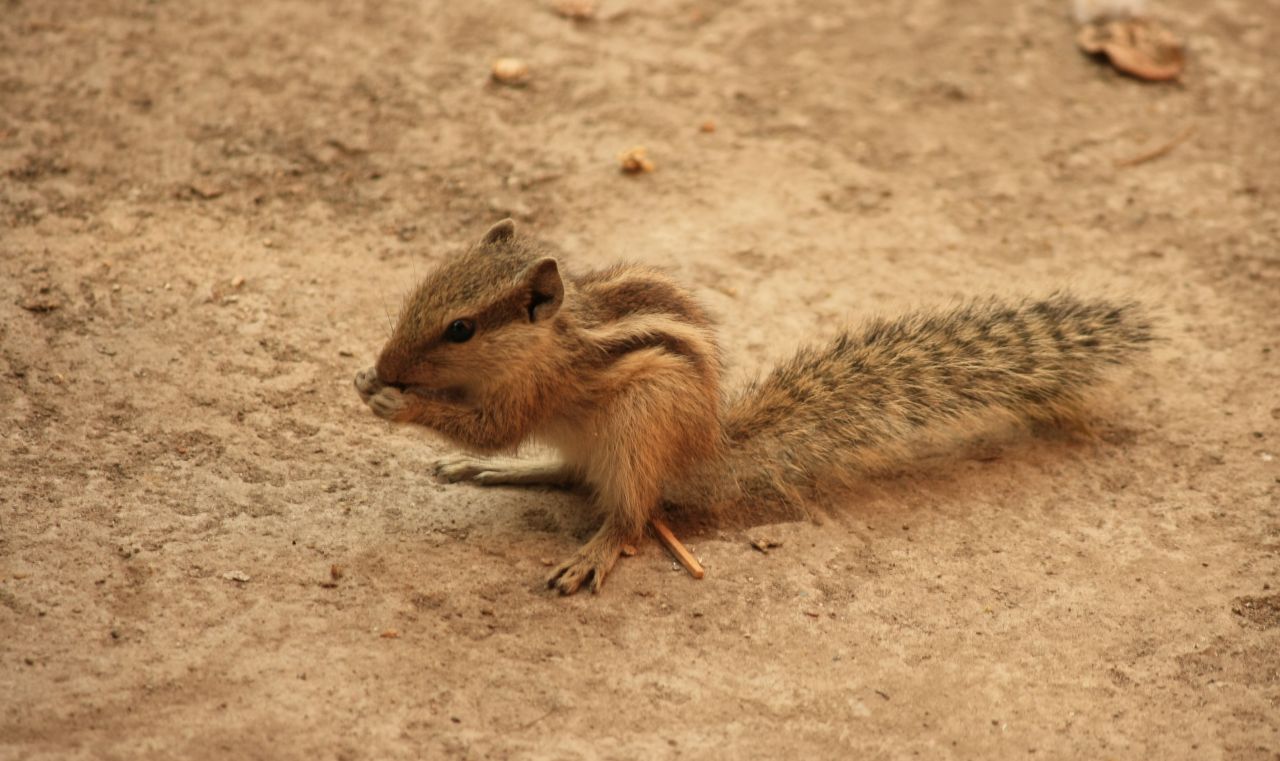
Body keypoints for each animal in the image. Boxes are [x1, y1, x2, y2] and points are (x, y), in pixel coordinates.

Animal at [355, 219, 1157, 596]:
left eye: (461, 328)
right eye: (419, 291)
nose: (388, 365)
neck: (548, 337)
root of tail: (704, 447)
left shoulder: (536, 392)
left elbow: (492, 428)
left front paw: (396, 402)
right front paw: (372, 380)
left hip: (637, 429)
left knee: (632, 515)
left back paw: (592, 551)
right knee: (569, 474)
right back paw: (501, 477)